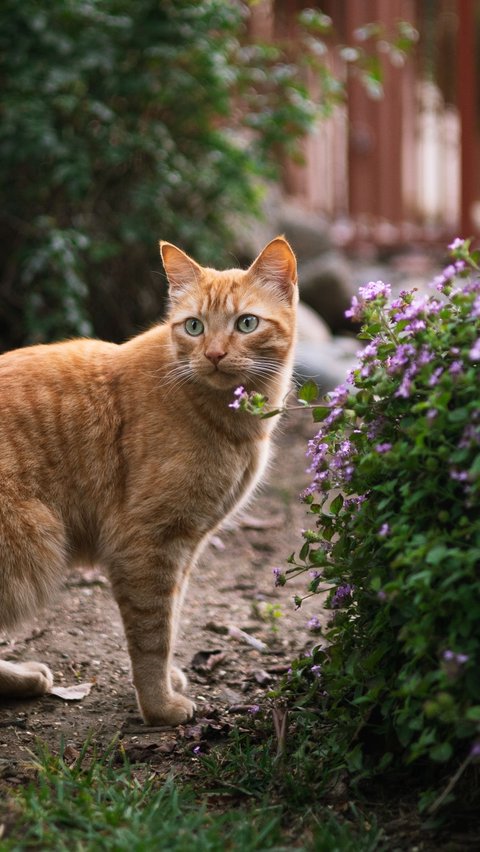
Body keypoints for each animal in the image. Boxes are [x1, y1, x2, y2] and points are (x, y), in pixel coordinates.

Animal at [0, 236, 298, 724]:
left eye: (246, 323)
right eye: (194, 327)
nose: (214, 354)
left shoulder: (186, 544)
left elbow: (172, 617)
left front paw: (169, 682)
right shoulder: (146, 541)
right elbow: (152, 633)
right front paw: (159, 705)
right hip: (32, 546)